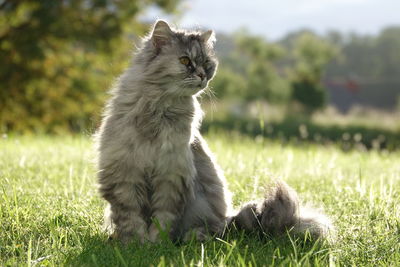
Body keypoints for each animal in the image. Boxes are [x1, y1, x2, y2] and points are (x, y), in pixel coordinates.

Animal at [95, 19, 332, 244]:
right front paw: (134, 243)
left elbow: (162, 220)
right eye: (185, 61)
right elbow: (131, 217)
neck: (159, 109)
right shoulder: (125, 174)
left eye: (207, 64)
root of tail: (231, 219)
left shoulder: (171, 176)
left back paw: (193, 238)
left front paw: (155, 244)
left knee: (214, 230)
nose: (202, 75)